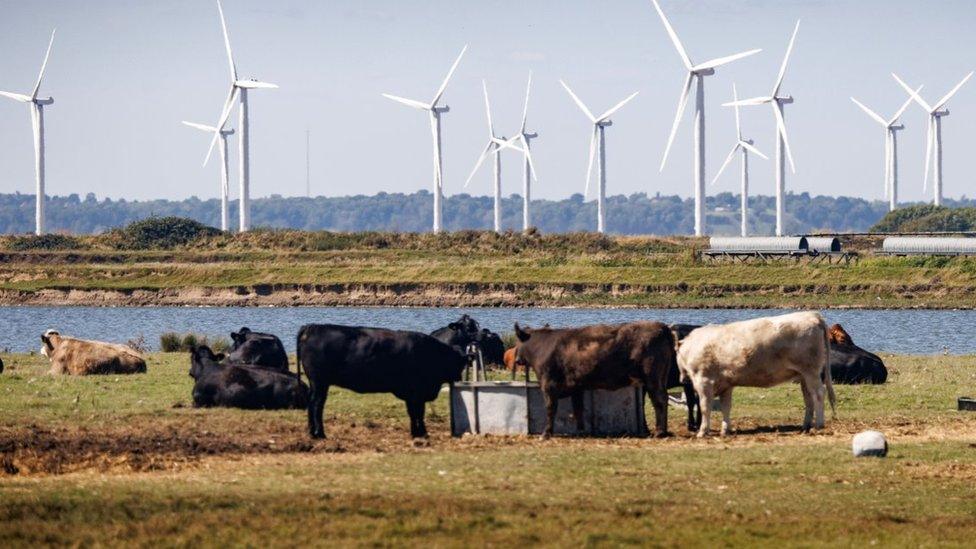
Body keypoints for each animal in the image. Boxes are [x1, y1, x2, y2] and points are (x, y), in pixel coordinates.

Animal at [296, 324, 468, 438]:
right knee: (317, 405)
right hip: (320, 382)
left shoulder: (411, 394)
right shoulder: (416, 393)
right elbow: (418, 413)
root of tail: (312, 327)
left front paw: (417, 433)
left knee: (312, 403)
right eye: (459, 364)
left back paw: (311, 432)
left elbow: (414, 413)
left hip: (316, 383)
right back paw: (320, 434)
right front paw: (421, 434)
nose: (459, 378)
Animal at [510, 322, 680, 436]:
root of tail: (661, 326)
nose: (517, 360)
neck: (543, 346)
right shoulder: (576, 387)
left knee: (659, 401)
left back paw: (660, 432)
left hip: (653, 379)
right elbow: (578, 409)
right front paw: (580, 431)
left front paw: (546, 433)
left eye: (518, 341)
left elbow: (551, 409)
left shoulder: (548, 385)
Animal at [676, 312, 836, 436]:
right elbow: (726, 407)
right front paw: (725, 430)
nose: (682, 379)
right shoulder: (726, 385)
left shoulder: (704, 381)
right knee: (808, 398)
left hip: (811, 371)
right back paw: (805, 427)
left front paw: (702, 431)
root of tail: (811, 315)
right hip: (804, 375)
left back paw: (819, 424)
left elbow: (704, 407)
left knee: (819, 393)